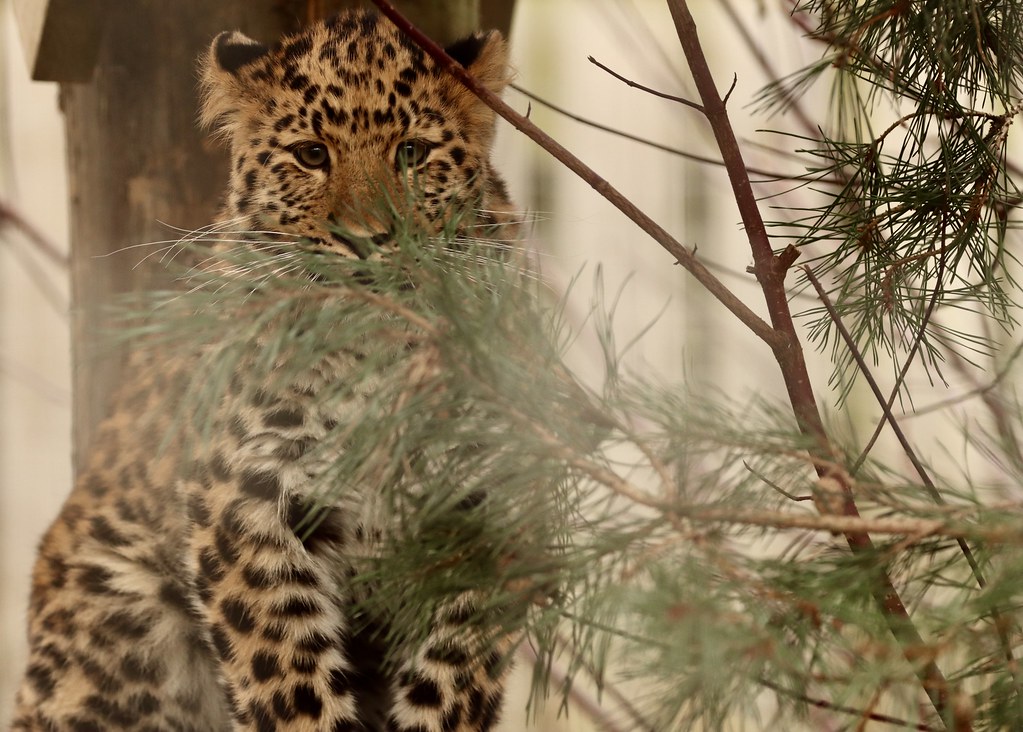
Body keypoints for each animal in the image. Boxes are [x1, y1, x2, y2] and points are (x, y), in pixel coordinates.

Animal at [10, 9, 525, 732]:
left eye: (411, 153)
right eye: (311, 155)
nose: (368, 240)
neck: (376, 358)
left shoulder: (492, 497)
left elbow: (456, 669)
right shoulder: (245, 494)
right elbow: (288, 672)